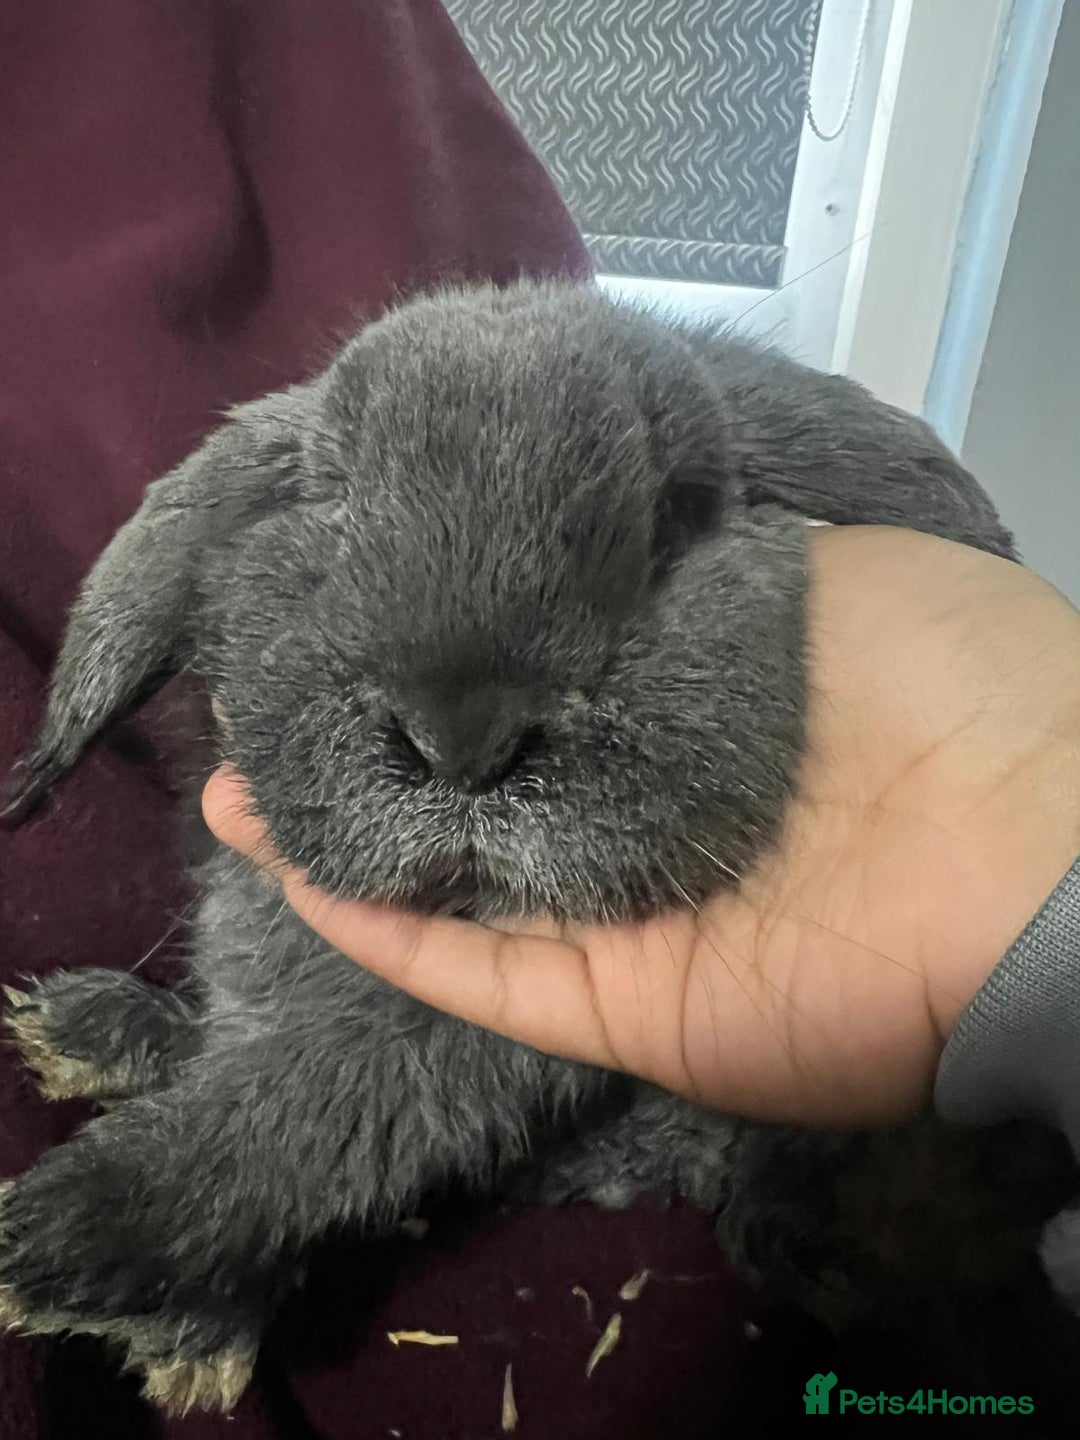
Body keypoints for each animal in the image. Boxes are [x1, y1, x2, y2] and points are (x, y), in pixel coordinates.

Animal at [0, 280, 1074, 1415]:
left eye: (680, 513)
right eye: (332, 501)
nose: (463, 737)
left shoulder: (478, 1049)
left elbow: (309, 1115)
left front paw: (96, 1253)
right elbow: (237, 1050)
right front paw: (106, 1037)